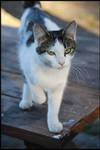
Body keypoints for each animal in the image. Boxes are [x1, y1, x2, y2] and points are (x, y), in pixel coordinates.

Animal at [18, 0, 77, 132]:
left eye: (67, 50)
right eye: (51, 53)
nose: (62, 62)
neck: (50, 70)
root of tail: (35, 9)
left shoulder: (59, 85)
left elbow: (54, 105)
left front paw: (53, 123)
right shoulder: (26, 61)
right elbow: (32, 82)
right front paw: (40, 97)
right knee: (25, 79)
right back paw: (26, 100)